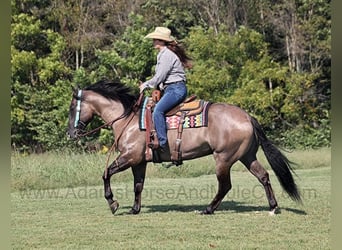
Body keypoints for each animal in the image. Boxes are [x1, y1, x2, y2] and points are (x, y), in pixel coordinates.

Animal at [67, 79, 302, 215]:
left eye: (71, 108)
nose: (71, 133)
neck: (128, 119)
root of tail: (247, 117)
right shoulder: (139, 161)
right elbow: (138, 185)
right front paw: (135, 209)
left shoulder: (129, 157)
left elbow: (106, 173)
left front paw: (113, 203)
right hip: (247, 156)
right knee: (263, 176)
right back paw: (273, 207)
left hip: (224, 158)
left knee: (225, 185)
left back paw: (208, 209)